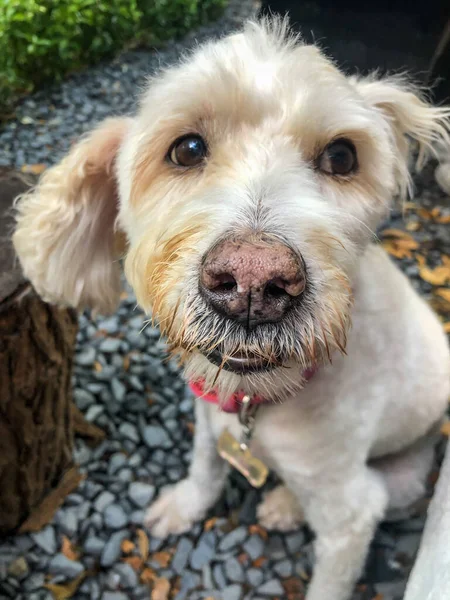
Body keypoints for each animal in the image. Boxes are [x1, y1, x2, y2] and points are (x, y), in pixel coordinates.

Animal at [12, 18, 450, 600]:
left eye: (342, 156)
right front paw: (184, 504)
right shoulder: (207, 412)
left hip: (401, 477)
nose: (252, 282)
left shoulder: (351, 515)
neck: (258, 401)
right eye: (186, 149)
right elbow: (205, 465)